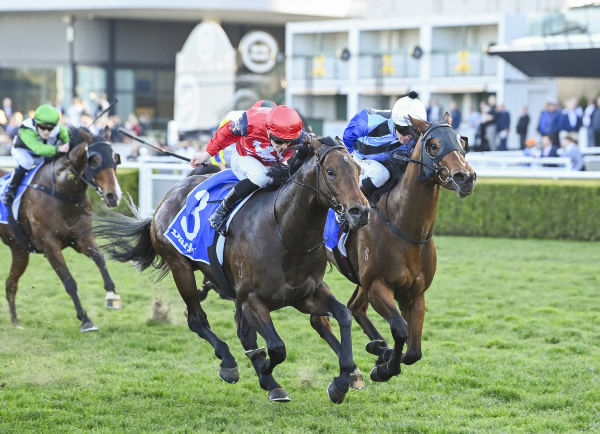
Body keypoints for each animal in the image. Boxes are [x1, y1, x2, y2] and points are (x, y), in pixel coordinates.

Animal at [0, 125, 123, 332]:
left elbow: (99, 258)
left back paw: (15, 322)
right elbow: (69, 281)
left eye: (115, 158)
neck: (62, 192)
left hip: (19, 250)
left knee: (11, 284)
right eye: (95, 160)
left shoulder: (81, 238)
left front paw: (112, 295)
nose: (114, 196)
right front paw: (85, 320)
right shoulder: (50, 245)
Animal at [96, 136, 370, 404]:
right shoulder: (251, 299)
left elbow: (343, 315)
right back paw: (229, 362)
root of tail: (168, 196)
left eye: (358, 169)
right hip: (180, 267)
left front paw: (342, 381)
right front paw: (265, 370)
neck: (285, 233)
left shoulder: (306, 295)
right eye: (331, 171)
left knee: (242, 332)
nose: (361, 211)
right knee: (196, 319)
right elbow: (277, 347)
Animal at [326, 113, 476, 382]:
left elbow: (414, 351)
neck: (405, 229)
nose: (466, 177)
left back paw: (377, 345)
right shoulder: (378, 286)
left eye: (461, 141)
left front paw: (384, 357)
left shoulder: (415, 294)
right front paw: (384, 368)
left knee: (355, 307)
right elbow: (401, 330)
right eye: (433, 145)